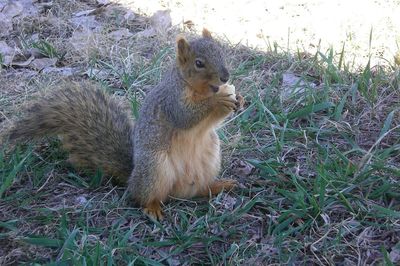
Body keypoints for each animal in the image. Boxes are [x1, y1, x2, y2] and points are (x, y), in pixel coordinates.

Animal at [4, 29, 244, 220]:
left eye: (221, 52)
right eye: (199, 63)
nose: (225, 77)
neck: (198, 89)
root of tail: (132, 176)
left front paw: (238, 99)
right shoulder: (171, 100)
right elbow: (185, 116)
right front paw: (218, 100)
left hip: (209, 157)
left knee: (199, 190)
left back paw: (219, 185)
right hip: (154, 168)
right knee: (142, 196)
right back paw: (152, 207)